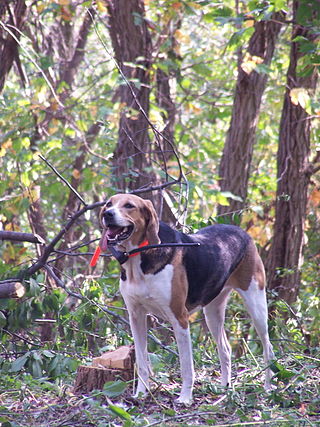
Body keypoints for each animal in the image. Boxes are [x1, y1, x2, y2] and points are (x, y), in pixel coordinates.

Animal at [98, 194, 276, 404]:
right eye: (108, 204)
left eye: (129, 205)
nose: (108, 214)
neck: (138, 257)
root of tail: (241, 232)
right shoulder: (136, 317)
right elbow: (141, 363)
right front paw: (141, 393)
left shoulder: (179, 318)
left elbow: (186, 366)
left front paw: (184, 398)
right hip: (212, 312)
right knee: (225, 349)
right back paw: (225, 388)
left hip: (256, 304)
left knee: (268, 348)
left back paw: (267, 388)